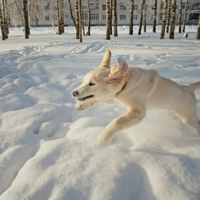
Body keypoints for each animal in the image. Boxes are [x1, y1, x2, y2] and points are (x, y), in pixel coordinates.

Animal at [72, 50, 200, 144]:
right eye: (84, 81)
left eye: (92, 84)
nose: (73, 93)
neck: (126, 82)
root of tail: (188, 87)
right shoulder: (115, 96)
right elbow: (97, 98)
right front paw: (81, 104)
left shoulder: (138, 111)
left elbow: (118, 121)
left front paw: (103, 137)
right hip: (169, 111)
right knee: (176, 120)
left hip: (188, 117)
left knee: (197, 124)